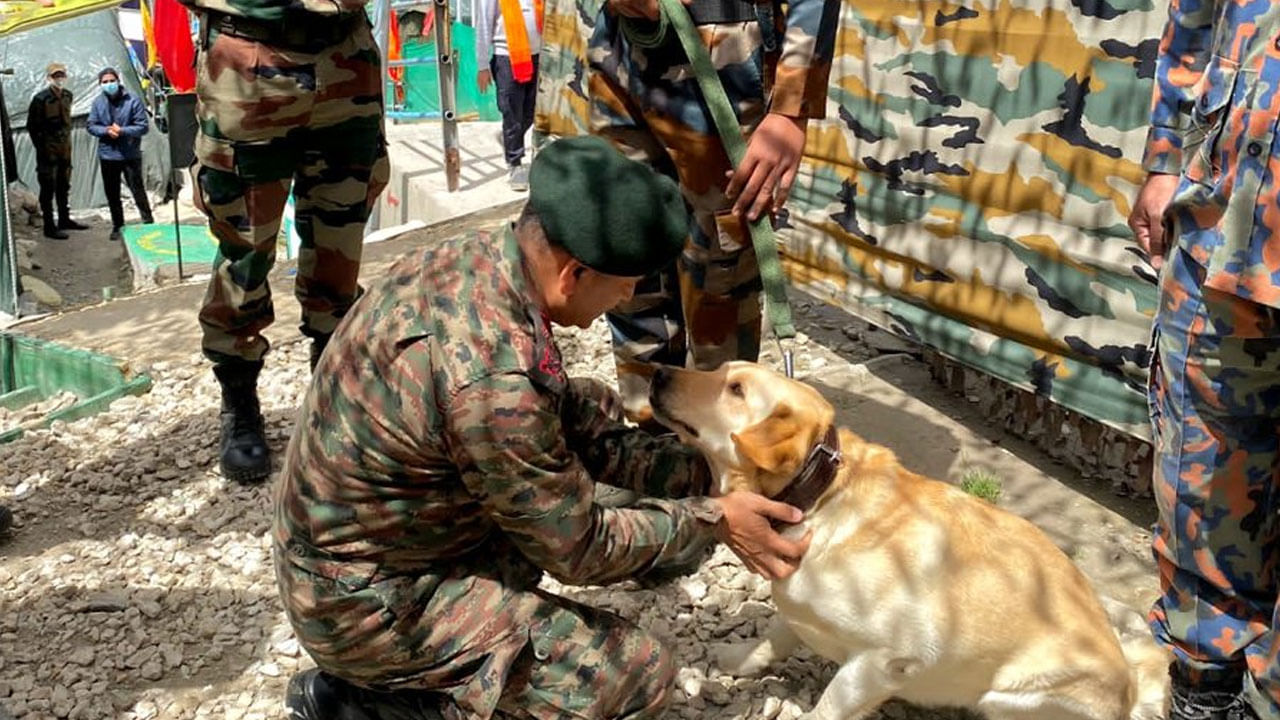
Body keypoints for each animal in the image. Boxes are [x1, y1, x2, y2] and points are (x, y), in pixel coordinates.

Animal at [650, 361, 1172, 717]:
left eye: (735, 390)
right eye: (721, 371)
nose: (656, 372)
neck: (822, 498)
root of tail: (1129, 691)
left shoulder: (884, 662)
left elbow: (826, 708)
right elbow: (776, 635)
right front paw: (738, 658)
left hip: (1009, 696)